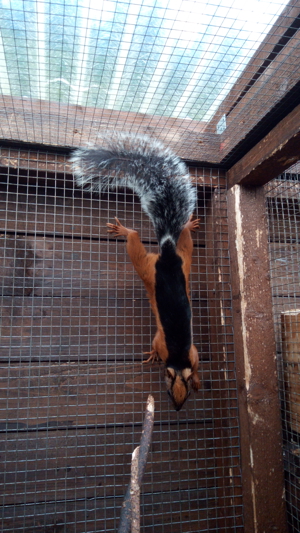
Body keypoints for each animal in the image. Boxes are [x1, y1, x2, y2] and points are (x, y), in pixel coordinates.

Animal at [70, 131, 200, 410]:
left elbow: (195, 364)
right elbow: (156, 345)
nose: (177, 408)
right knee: (141, 238)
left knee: (167, 240)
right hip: (157, 265)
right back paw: (129, 230)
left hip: (174, 262)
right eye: (168, 391)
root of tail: (168, 251)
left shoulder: (191, 354)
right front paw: (152, 355)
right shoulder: (164, 343)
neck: (178, 359)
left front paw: (196, 378)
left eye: (185, 396)